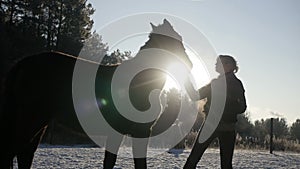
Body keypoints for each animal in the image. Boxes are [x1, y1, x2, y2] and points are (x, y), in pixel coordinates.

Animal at [0, 19, 192, 168]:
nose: (189, 64)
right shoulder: (130, 132)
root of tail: (23, 63)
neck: (138, 83)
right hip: (31, 120)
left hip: (38, 123)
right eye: (175, 41)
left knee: (25, 154)